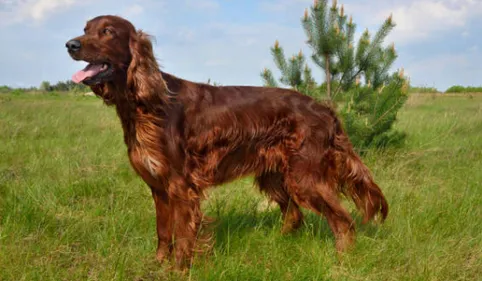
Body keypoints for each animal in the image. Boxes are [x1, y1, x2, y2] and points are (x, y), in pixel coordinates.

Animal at [66, 15, 388, 270]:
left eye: (108, 31)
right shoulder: (158, 186)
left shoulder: (181, 186)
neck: (146, 103)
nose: (71, 45)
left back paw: (342, 261)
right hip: (274, 175)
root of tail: (325, 109)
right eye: (85, 28)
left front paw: (178, 270)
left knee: (342, 221)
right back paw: (276, 245)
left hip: (304, 177)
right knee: (294, 215)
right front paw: (157, 265)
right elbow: (163, 232)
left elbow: (183, 236)